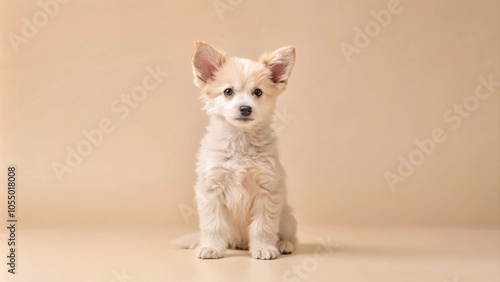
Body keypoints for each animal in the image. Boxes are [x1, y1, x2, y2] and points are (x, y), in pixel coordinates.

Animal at [186, 41, 296, 260]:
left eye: (258, 92)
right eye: (228, 91)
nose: (245, 109)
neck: (240, 141)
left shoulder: (267, 191)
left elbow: (263, 227)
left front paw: (264, 248)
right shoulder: (211, 190)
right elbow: (213, 225)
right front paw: (211, 247)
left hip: (287, 216)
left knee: (288, 236)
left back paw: (284, 245)